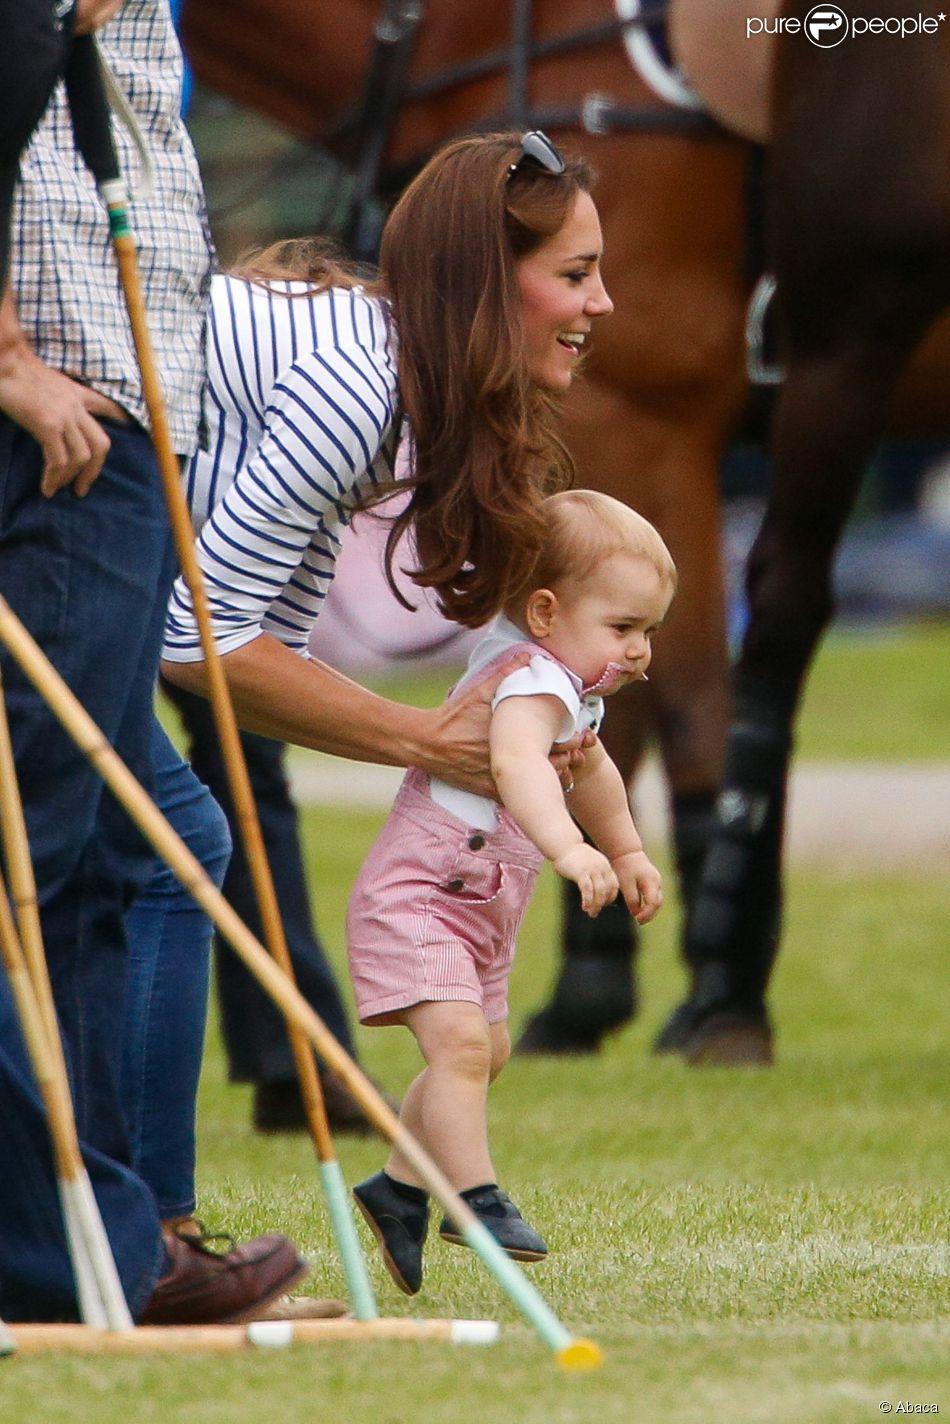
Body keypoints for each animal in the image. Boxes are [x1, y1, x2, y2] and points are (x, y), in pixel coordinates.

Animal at [178, 0, 950, 1065]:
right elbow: (663, 702)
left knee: (784, 610)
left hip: (849, 352)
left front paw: (687, 983)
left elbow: (681, 701)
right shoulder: (634, 426)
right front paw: (625, 977)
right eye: (582, 269)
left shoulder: (655, 415)